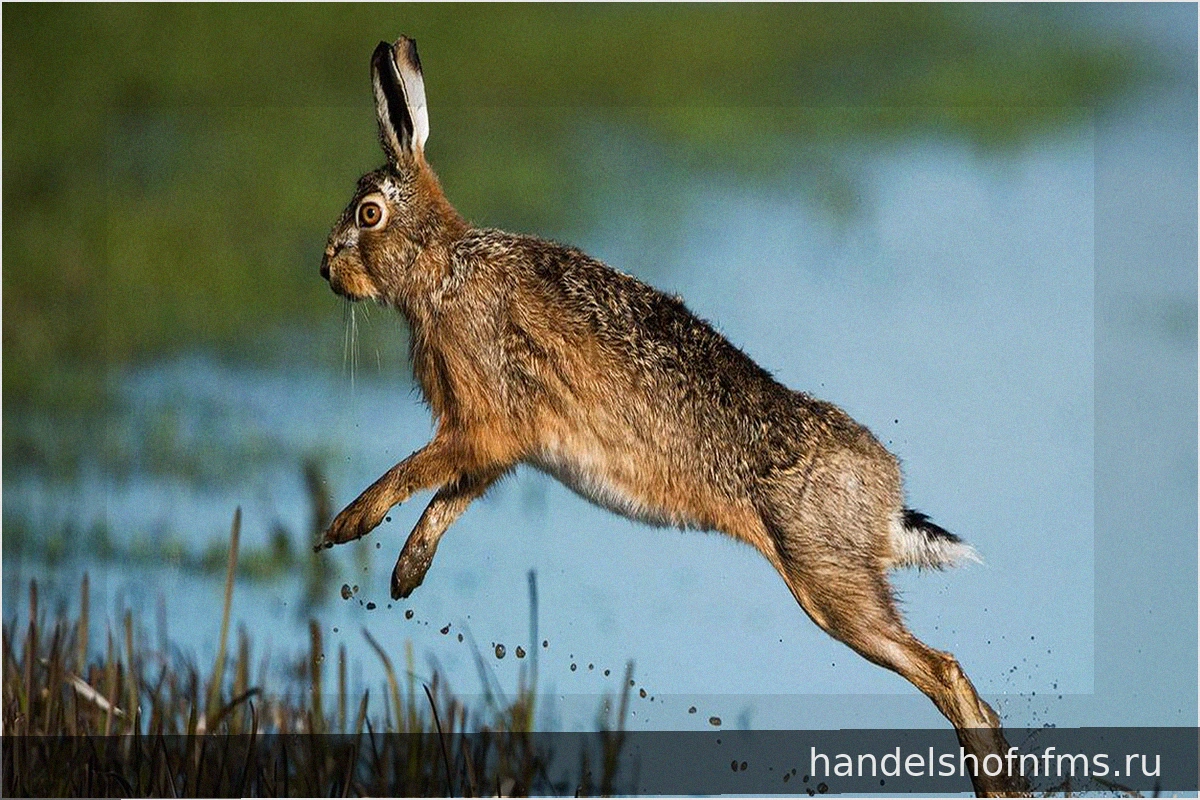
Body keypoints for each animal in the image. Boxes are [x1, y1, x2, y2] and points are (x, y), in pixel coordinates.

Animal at [314, 36, 1025, 797]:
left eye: (368, 214)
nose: (323, 269)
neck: (439, 266)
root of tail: (886, 494)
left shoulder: (483, 421)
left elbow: (416, 470)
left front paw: (345, 525)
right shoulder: (502, 444)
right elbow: (450, 495)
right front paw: (405, 575)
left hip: (826, 580)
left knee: (942, 669)